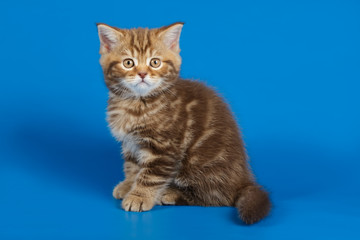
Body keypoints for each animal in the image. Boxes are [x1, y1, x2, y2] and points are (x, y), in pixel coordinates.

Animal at [95, 22, 270, 225]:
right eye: (128, 63)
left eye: (155, 62)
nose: (142, 74)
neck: (136, 103)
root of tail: (244, 180)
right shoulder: (130, 143)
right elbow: (133, 167)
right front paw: (128, 185)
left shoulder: (164, 148)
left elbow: (150, 175)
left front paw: (139, 197)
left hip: (200, 165)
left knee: (219, 197)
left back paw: (170, 194)